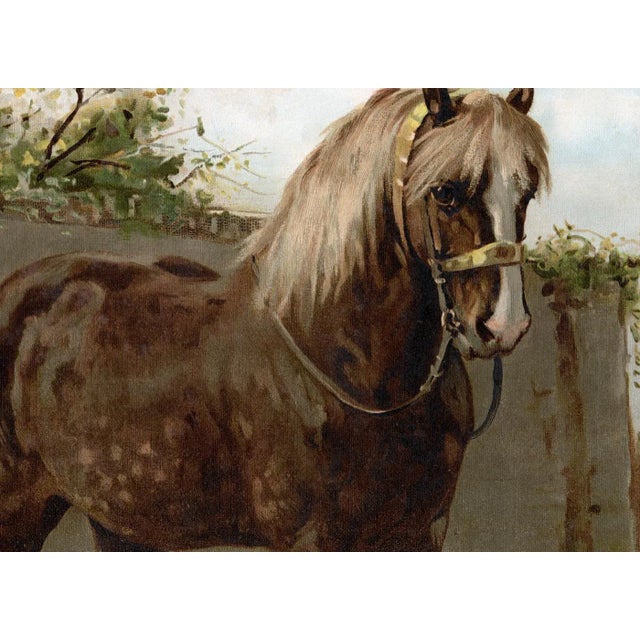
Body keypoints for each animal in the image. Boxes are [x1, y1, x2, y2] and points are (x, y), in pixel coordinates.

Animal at [0, 88, 549, 551]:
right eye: (446, 191)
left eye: (525, 194)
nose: (503, 325)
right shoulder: (311, 541)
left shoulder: (424, 533)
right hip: (22, 513)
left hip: (122, 521)